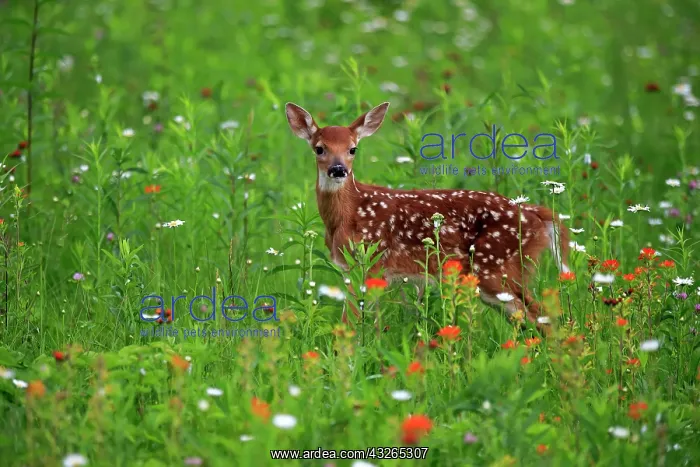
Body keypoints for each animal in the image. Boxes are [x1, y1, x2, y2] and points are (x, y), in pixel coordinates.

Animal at [284, 101, 570, 336]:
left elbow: (352, 320)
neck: (349, 213)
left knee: (540, 315)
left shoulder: (371, 260)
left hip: (496, 266)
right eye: (319, 149)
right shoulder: (352, 268)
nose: (338, 169)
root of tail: (535, 214)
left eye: (353, 149)